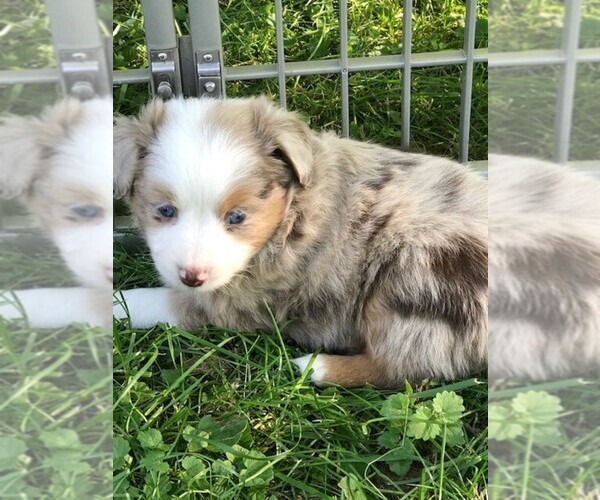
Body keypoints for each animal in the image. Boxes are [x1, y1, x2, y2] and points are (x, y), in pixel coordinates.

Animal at [113, 96, 488, 386]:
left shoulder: (241, 300)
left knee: (406, 367)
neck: (290, 213)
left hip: (411, 279)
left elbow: (164, 301)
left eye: (237, 216)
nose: (192, 276)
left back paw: (313, 367)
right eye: (165, 210)